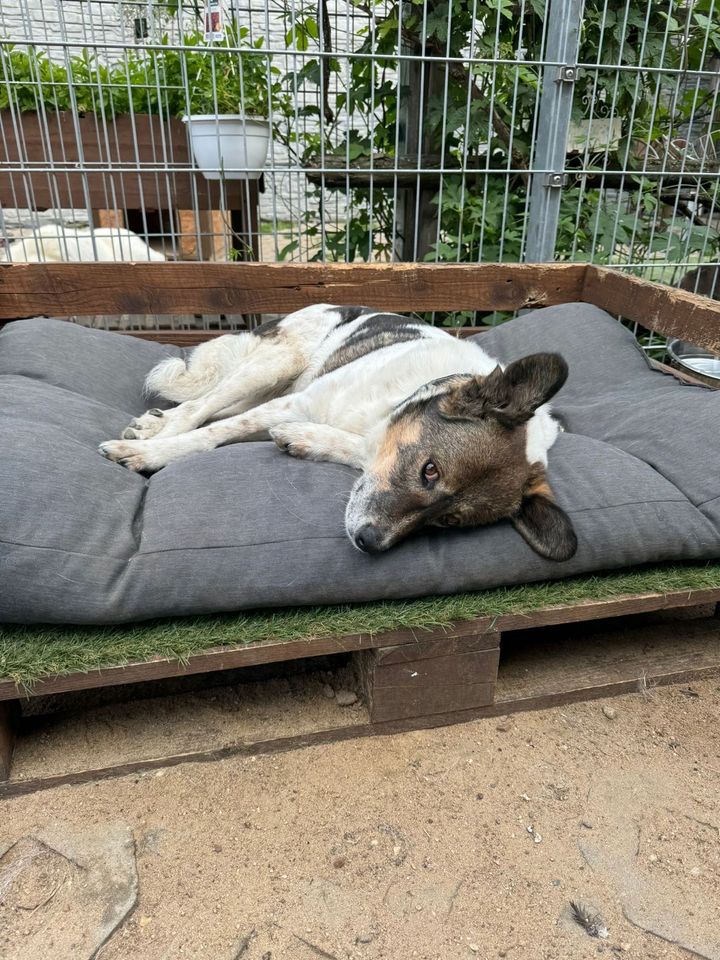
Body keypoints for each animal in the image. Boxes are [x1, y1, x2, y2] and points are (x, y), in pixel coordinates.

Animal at [98, 304, 576, 560]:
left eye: (450, 521)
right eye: (430, 471)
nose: (369, 543)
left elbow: (351, 449)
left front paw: (303, 439)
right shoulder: (293, 403)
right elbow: (207, 433)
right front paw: (152, 455)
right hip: (275, 366)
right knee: (203, 405)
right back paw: (154, 432)